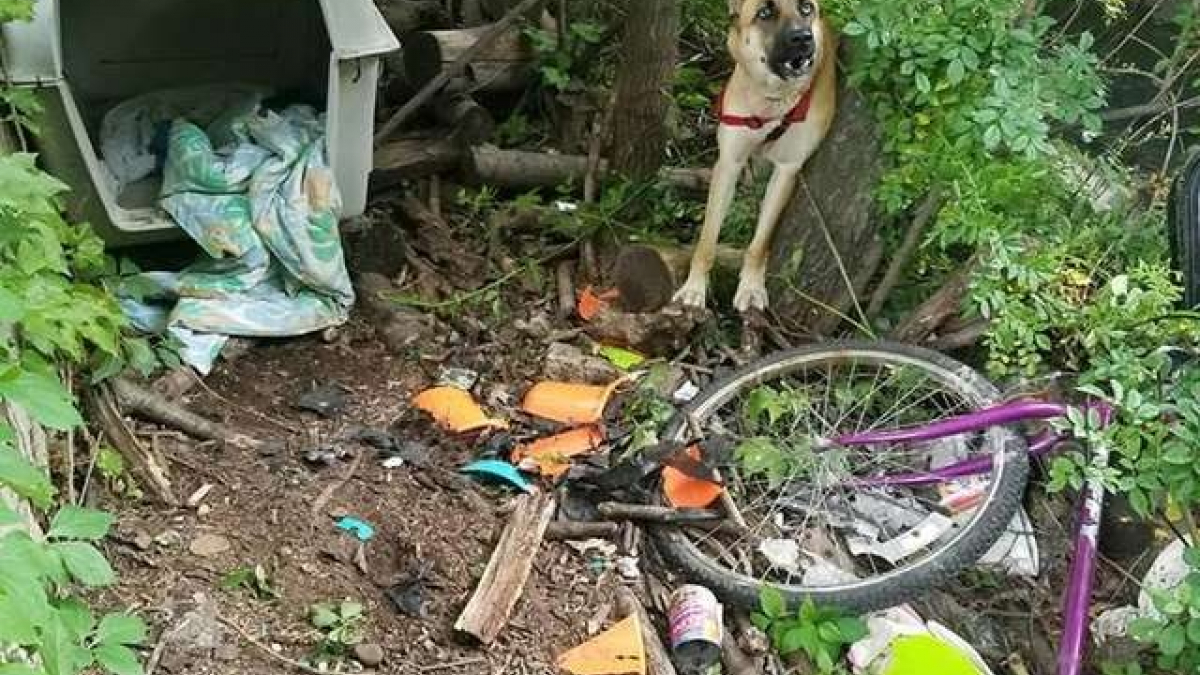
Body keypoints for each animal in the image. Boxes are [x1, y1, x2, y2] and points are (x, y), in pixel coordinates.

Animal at [672, 0, 840, 312]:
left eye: (806, 7)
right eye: (765, 12)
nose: (803, 38)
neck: (773, 101)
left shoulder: (787, 169)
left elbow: (760, 241)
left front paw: (751, 286)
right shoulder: (729, 163)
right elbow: (707, 239)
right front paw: (694, 287)